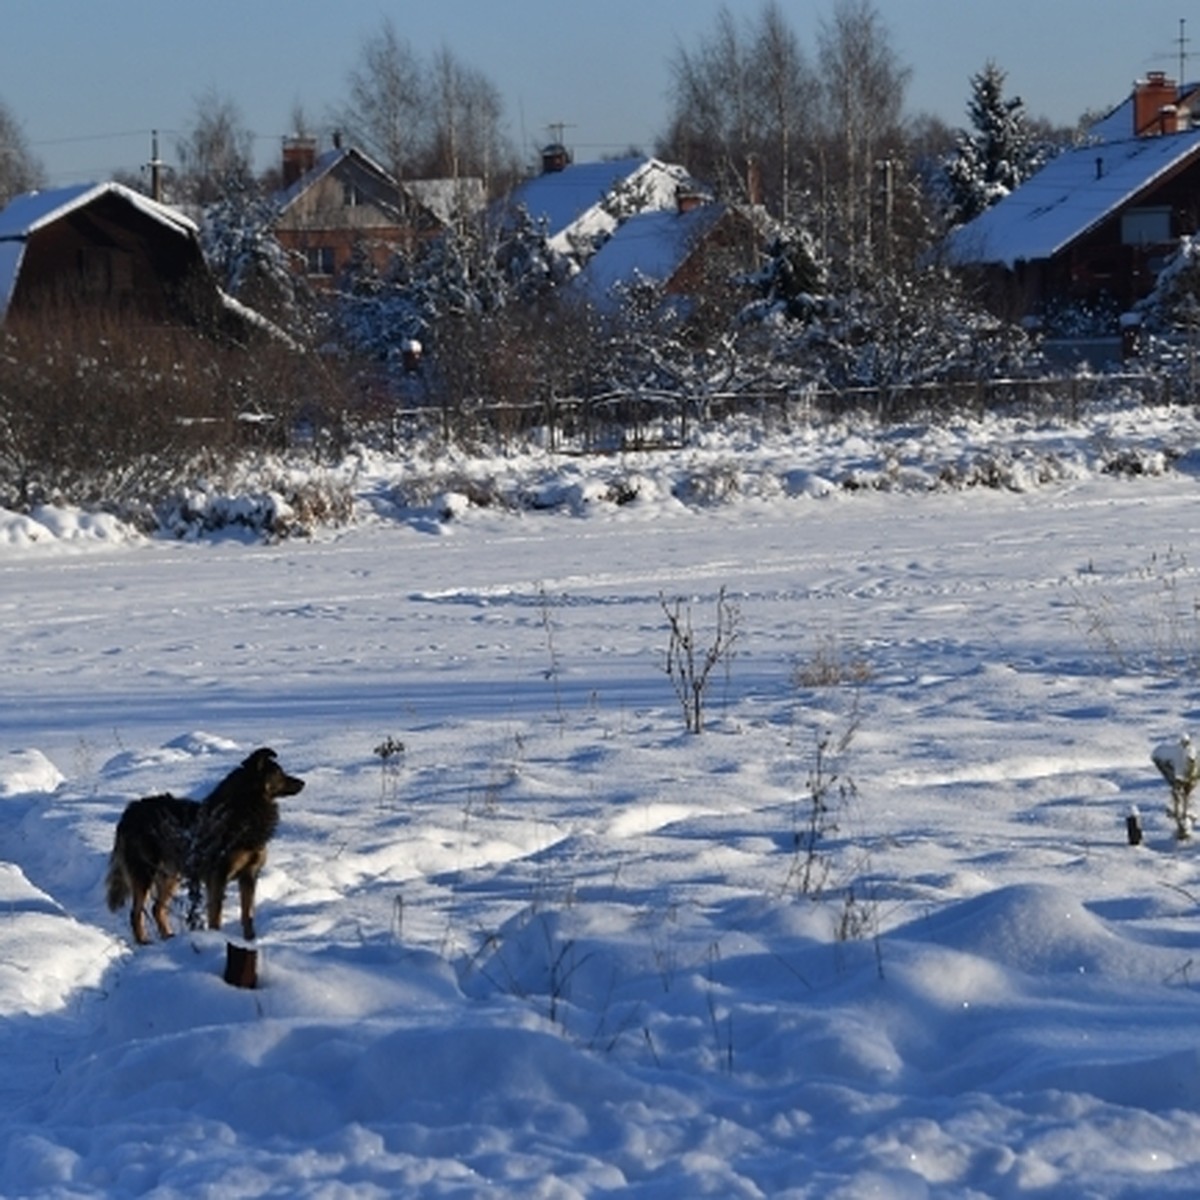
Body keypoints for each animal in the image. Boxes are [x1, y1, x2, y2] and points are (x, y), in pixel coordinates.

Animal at [105, 748, 304, 945]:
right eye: (278, 773)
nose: (303, 782)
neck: (242, 810)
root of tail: (130, 811)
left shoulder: (250, 875)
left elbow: (247, 915)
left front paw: (250, 942)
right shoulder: (217, 876)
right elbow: (215, 916)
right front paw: (217, 941)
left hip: (170, 873)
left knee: (157, 908)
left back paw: (168, 937)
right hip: (144, 872)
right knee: (136, 912)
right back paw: (144, 942)